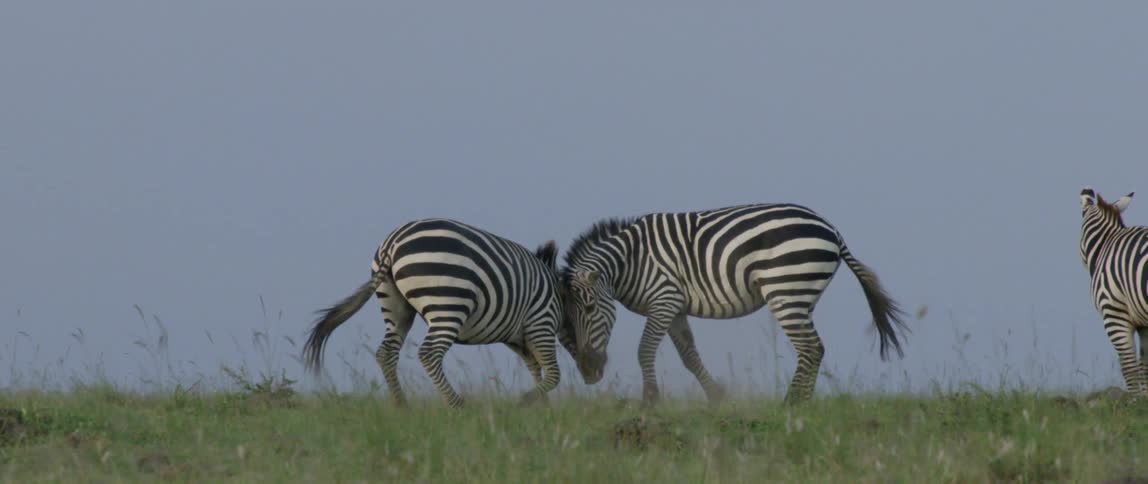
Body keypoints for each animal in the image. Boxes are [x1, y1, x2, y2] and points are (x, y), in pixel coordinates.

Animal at [303, 219, 571, 408]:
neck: (557, 297)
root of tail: (392, 244)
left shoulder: (518, 336)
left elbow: (536, 367)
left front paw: (540, 406)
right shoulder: (539, 321)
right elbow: (551, 372)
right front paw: (530, 403)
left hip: (394, 303)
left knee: (386, 352)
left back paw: (402, 407)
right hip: (448, 302)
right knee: (429, 353)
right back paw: (457, 406)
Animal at [560, 203, 909, 405]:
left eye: (589, 310)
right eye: (566, 319)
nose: (588, 372)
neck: (631, 261)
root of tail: (832, 230)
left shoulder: (664, 299)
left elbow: (644, 350)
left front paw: (650, 401)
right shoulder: (675, 307)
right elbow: (688, 355)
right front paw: (717, 397)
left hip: (785, 290)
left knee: (811, 347)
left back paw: (791, 404)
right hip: (803, 293)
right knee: (813, 348)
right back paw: (801, 403)